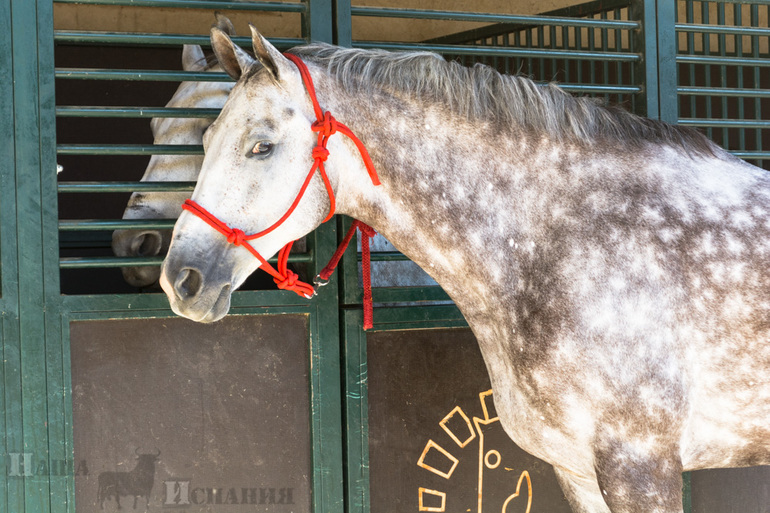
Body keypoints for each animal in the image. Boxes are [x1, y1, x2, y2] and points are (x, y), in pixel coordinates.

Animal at [159, 26, 764, 512]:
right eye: (206, 139)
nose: (180, 279)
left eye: (261, 146)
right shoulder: (576, 468)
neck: (568, 239)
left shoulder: (640, 466)